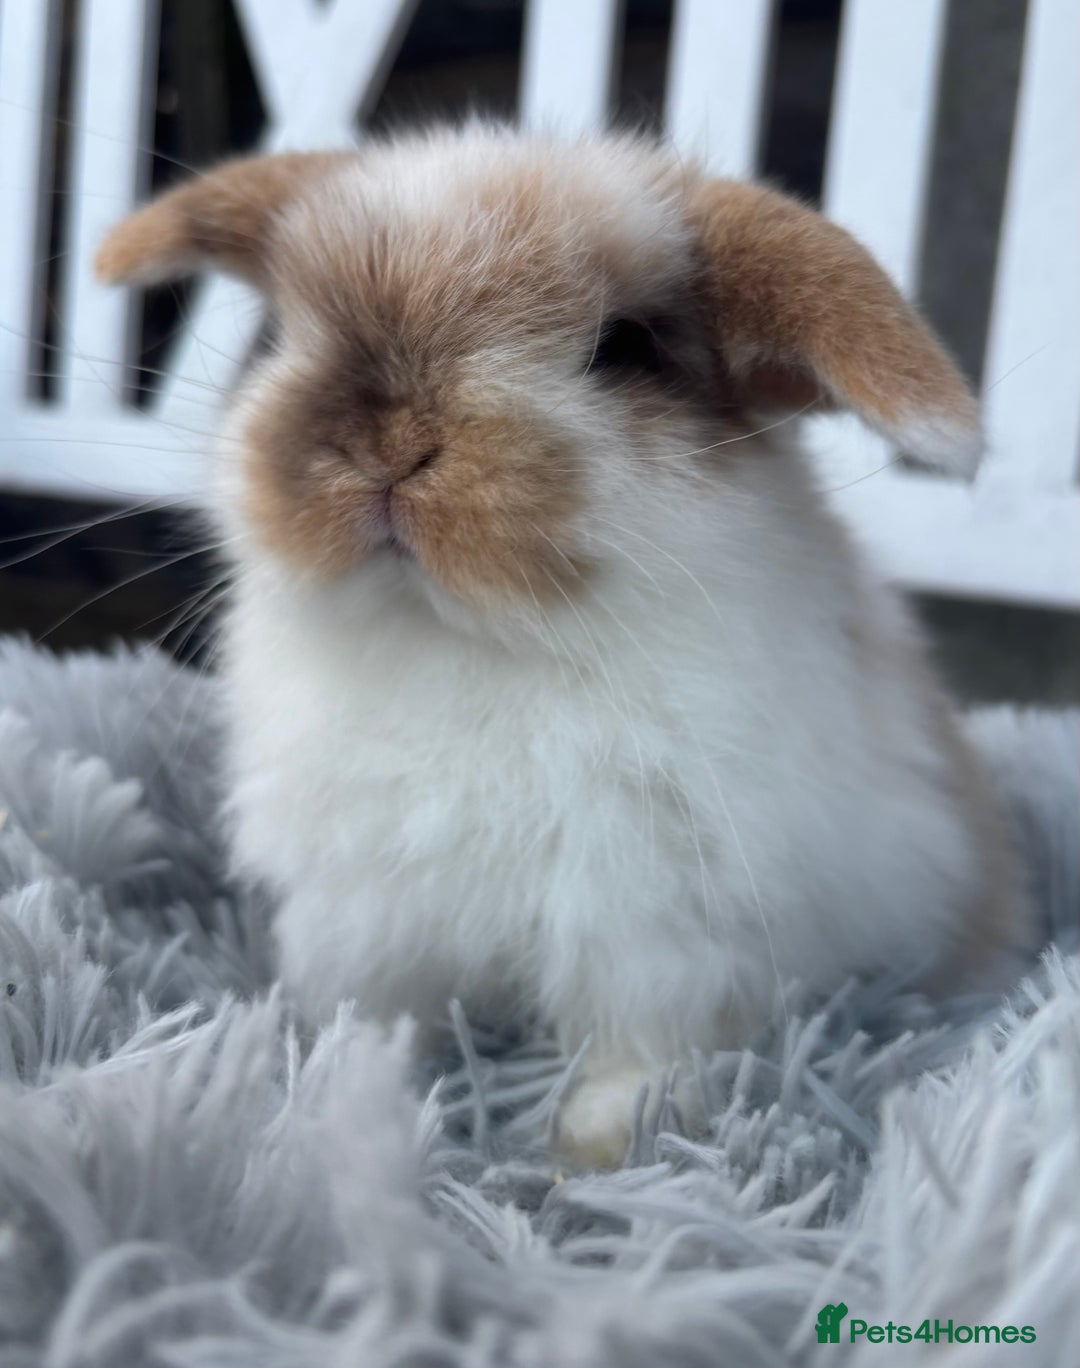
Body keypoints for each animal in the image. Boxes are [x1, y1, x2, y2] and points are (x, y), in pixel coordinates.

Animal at [97, 125, 1028, 1167]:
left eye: (625, 347)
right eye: (285, 332)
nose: (386, 443)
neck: (469, 642)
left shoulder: (658, 931)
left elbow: (642, 1045)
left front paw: (599, 1144)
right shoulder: (369, 916)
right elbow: (376, 1014)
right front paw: (345, 1080)